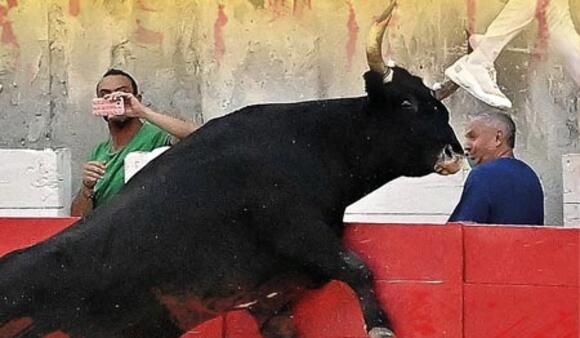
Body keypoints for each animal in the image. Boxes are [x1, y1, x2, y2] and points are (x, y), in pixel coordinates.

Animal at [0, 8, 462, 338]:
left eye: (437, 104)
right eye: (407, 103)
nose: (455, 153)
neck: (314, 144)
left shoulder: (270, 304)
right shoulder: (299, 230)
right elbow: (357, 267)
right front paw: (380, 326)